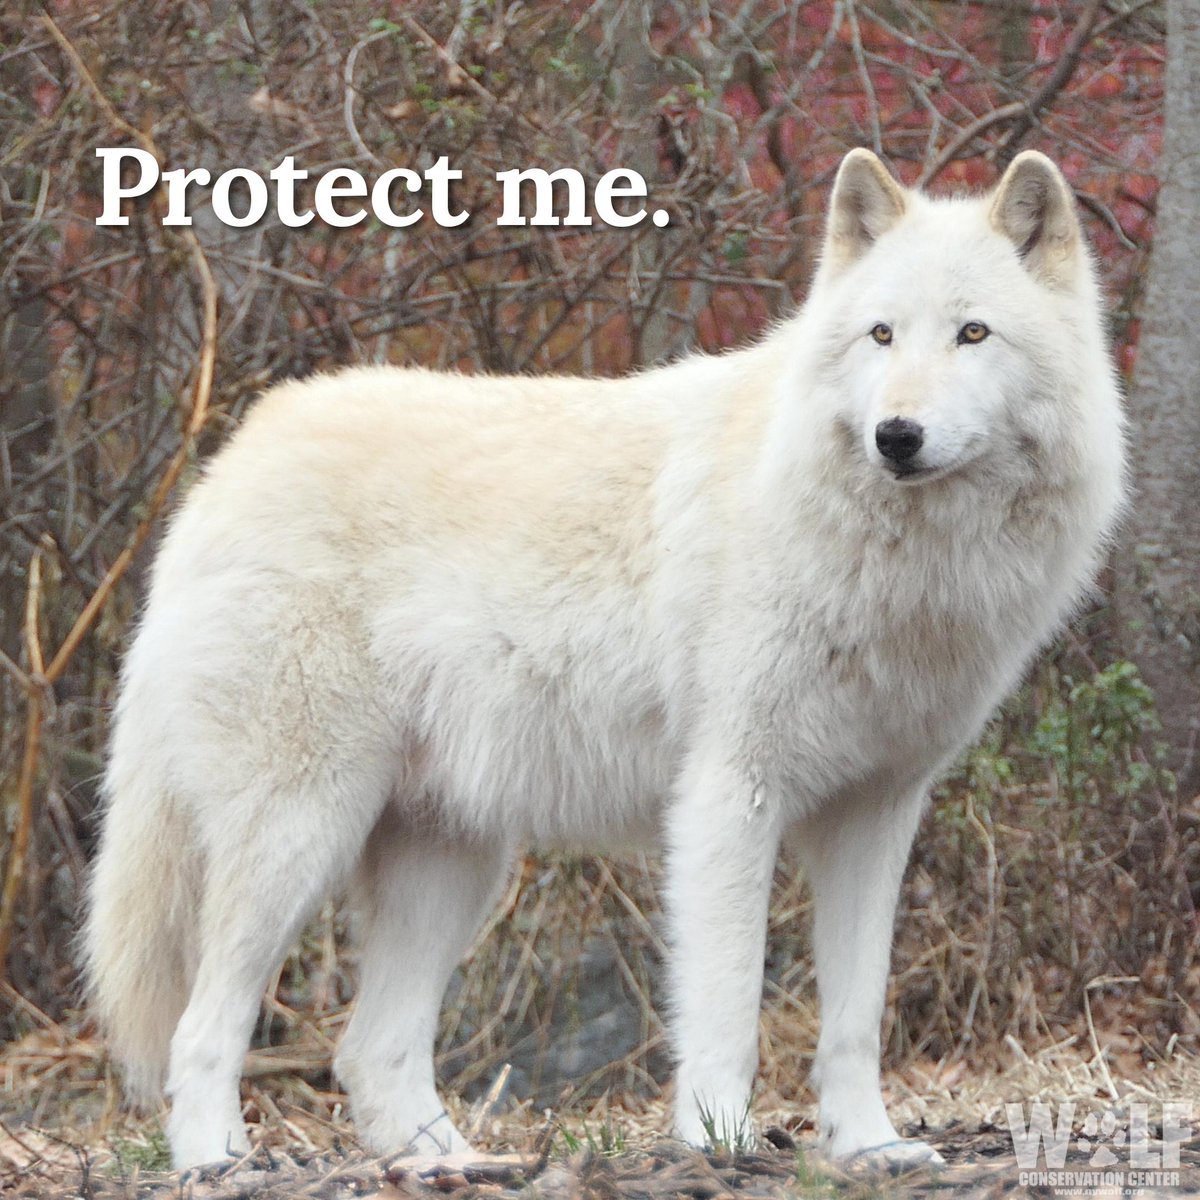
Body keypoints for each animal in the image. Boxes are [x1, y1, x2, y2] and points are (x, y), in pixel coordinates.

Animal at [84, 148, 1126, 1170]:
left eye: (972, 334)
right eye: (881, 335)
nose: (897, 436)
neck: (898, 565)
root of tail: (226, 465)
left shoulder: (875, 815)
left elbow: (856, 1017)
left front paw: (869, 1146)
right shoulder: (728, 798)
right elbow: (726, 1005)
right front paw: (721, 1141)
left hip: (449, 866)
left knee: (367, 1049)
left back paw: (450, 1164)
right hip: (300, 834)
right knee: (201, 1028)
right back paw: (217, 1162)